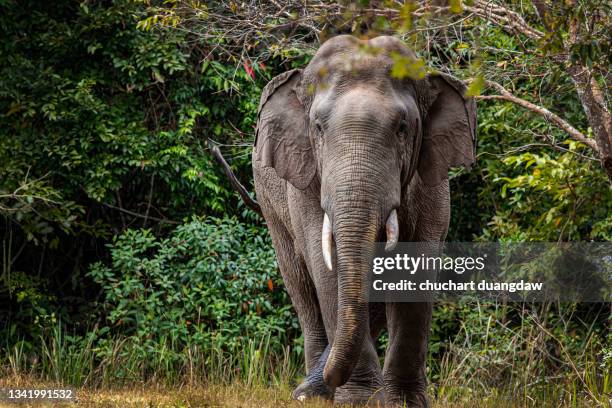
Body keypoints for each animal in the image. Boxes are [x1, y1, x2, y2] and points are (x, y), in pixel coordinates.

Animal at [221, 34, 478, 404]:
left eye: (402, 129)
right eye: (317, 128)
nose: (322, 383)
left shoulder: (432, 181)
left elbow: (418, 265)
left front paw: (403, 402)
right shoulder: (306, 178)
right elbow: (324, 262)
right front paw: (359, 400)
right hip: (270, 202)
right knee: (300, 286)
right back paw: (314, 394)